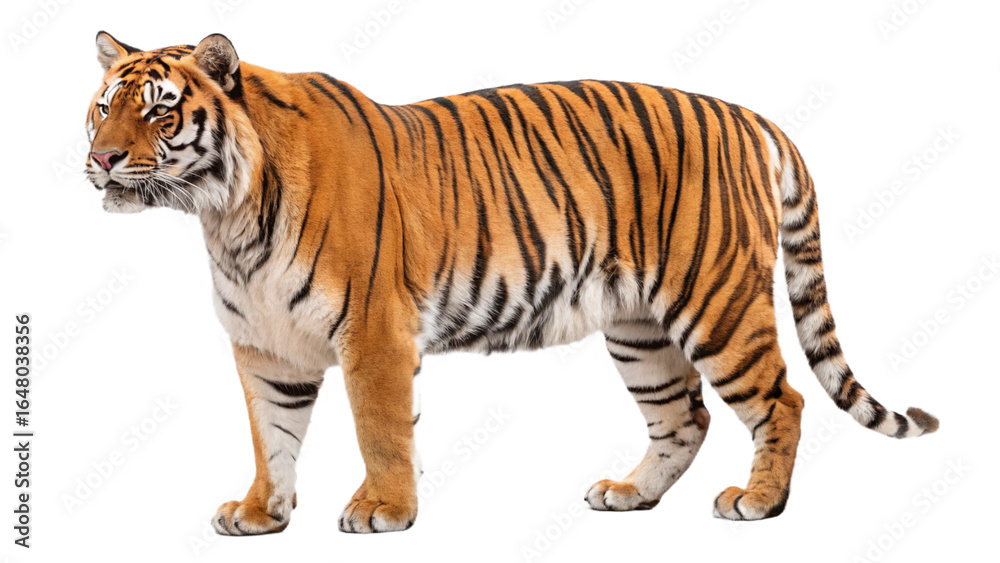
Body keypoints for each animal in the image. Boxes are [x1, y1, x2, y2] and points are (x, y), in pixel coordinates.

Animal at [85, 31, 939, 535]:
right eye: (102, 108)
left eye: (160, 112)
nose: (100, 158)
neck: (224, 215)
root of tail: (749, 114)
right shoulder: (267, 346)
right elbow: (272, 434)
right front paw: (262, 511)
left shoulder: (373, 332)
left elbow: (380, 430)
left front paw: (383, 510)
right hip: (639, 329)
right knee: (684, 416)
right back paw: (631, 493)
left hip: (717, 302)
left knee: (781, 399)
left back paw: (758, 502)